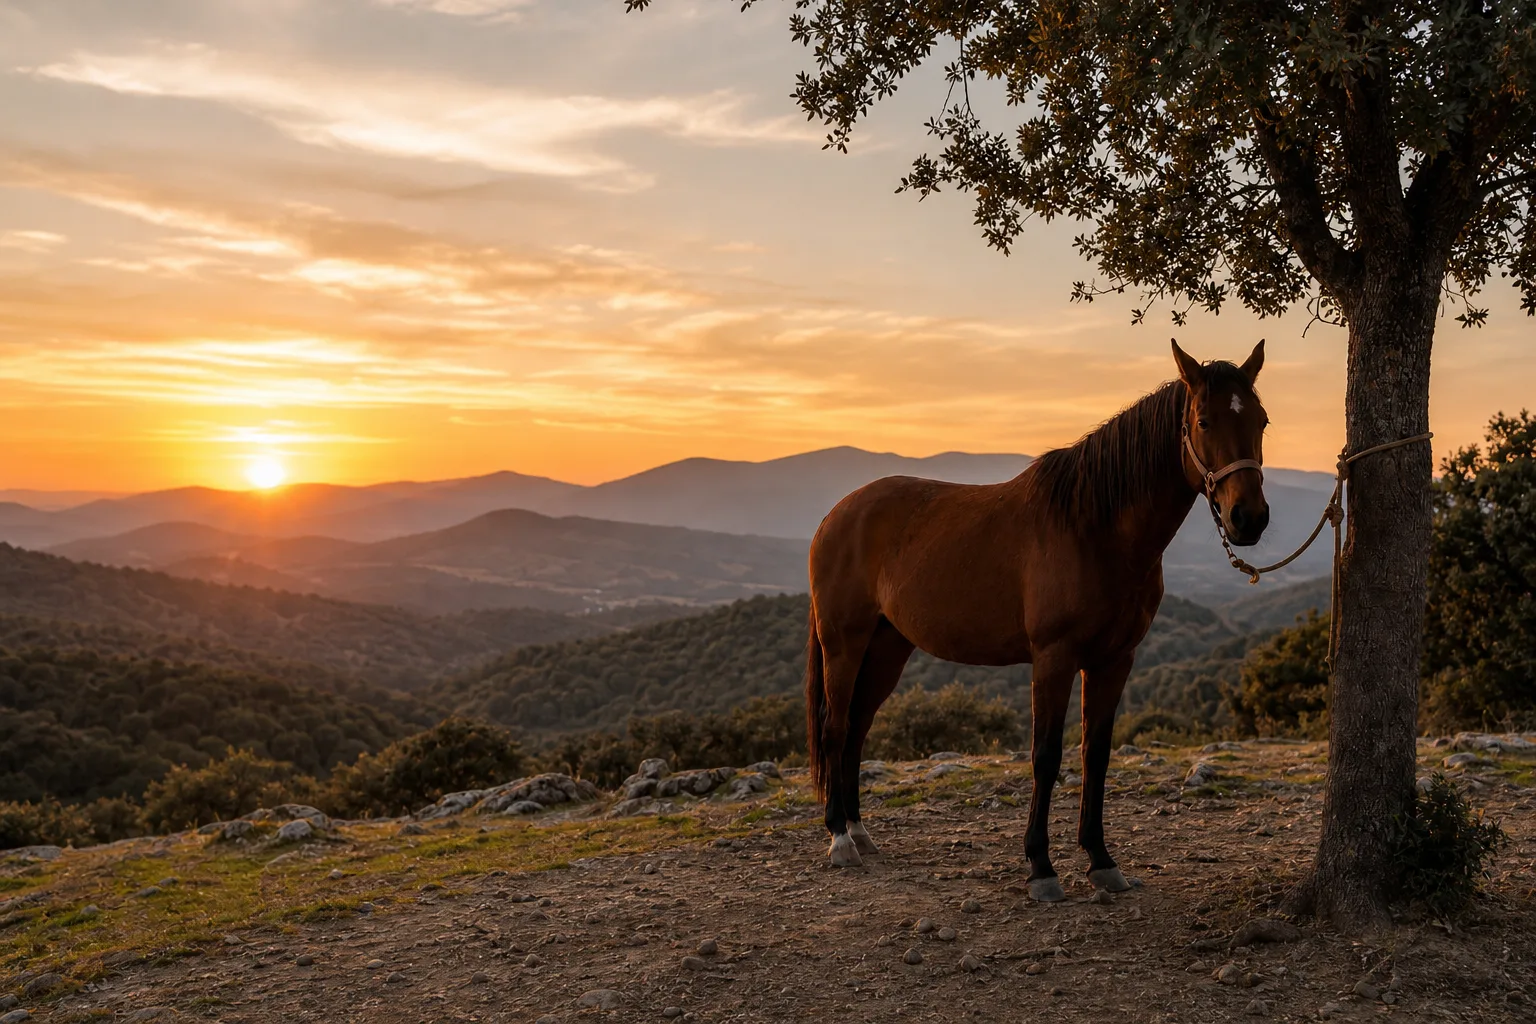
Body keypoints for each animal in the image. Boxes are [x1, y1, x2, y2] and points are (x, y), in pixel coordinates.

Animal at [803, 339, 1270, 900]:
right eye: (1203, 421)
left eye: (1262, 420)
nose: (1249, 519)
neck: (1094, 528)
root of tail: (836, 515)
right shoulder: (1053, 658)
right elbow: (1045, 757)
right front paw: (1041, 867)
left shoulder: (1115, 660)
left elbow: (1096, 753)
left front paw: (1101, 860)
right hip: (844, 644)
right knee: (834, 727)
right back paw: (839, 841)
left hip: (887, 648)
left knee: (856, 727)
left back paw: (858, 831)